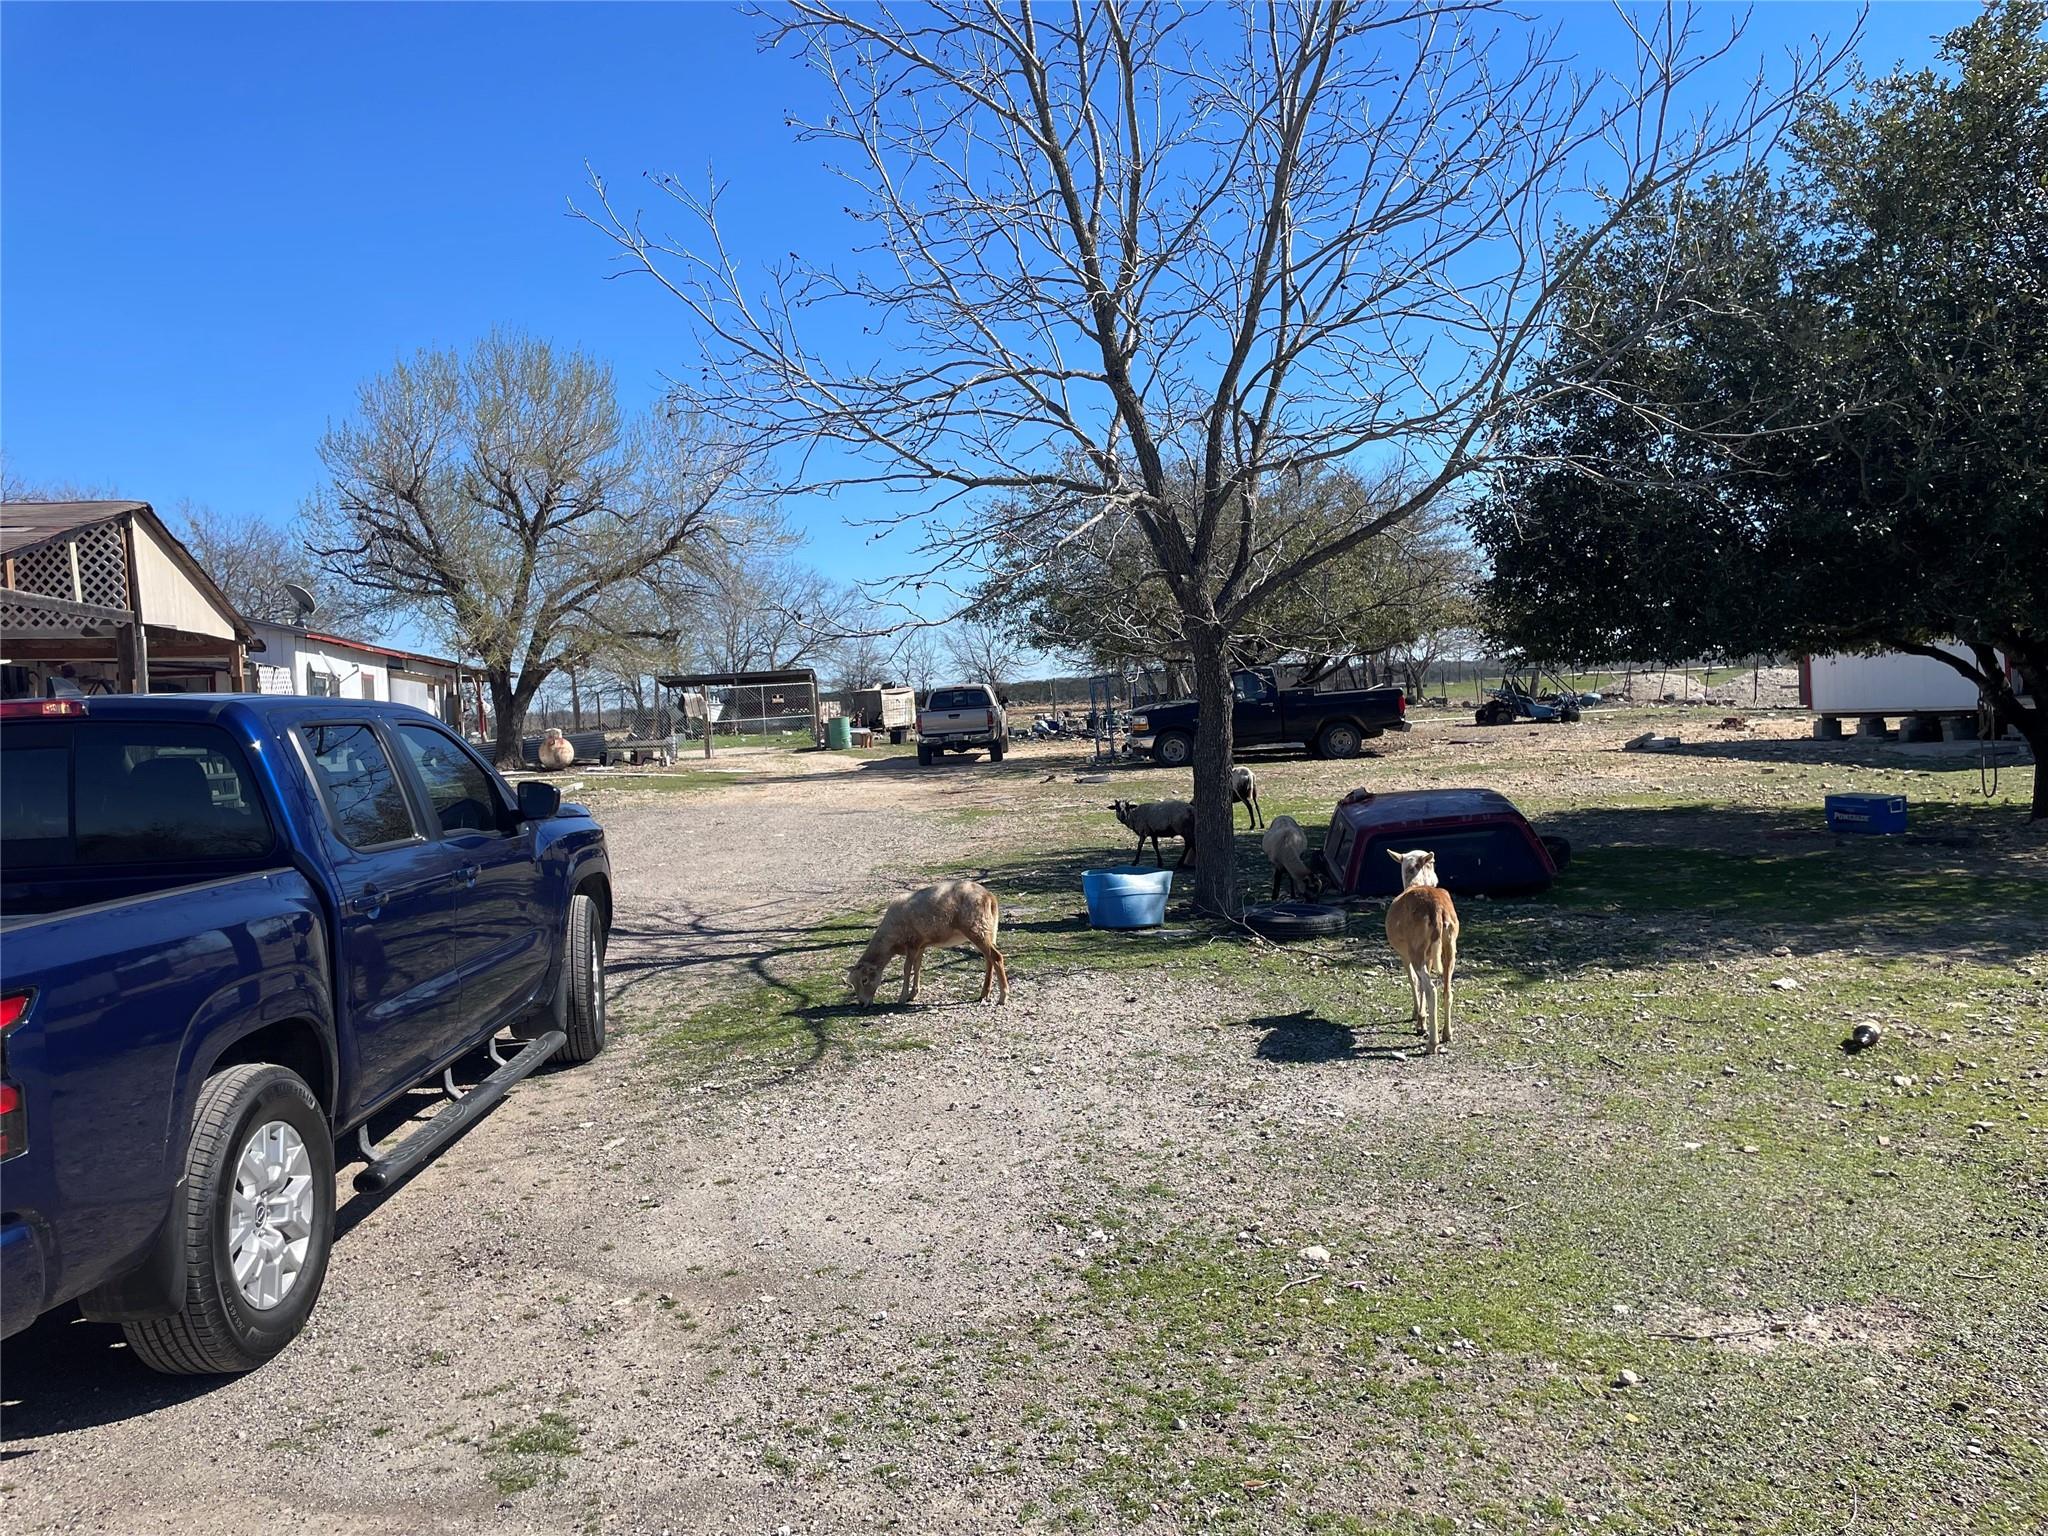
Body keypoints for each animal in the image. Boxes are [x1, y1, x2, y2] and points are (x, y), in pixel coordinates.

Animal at [847, 876, 1007, 1011]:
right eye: (852, 983)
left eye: (864, 980)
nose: (862, 1004)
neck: (890, 941)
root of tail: (989, 896)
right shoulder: (921, 944)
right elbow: (917, 967)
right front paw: (913, 994)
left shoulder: (912, 943)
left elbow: (907, 969)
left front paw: (902, 997)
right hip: (988, 930)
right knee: (989, 959)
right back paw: (984, 994)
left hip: (977, 929)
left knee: (996, 957)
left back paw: (1003, 996)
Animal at [1384, 856, 1466, 1056]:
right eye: (1434, 863)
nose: (1436, 880)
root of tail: (1437, 909)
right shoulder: (1429, 956)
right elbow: (1420, 983)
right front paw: (1421, 1020)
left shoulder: (1405, 954)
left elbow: (1413, 980)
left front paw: (1418, 1019)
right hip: (1449, 947)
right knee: (1447, 989)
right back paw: (1447, 1034)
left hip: (1416, 950)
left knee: (1431, 988)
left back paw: (1432, 1043)